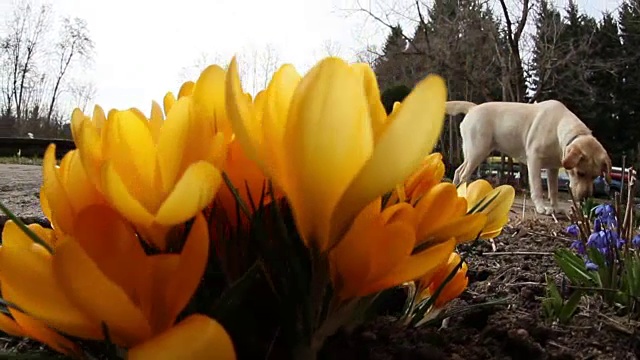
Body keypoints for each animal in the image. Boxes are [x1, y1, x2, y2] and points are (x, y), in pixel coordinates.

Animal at [448, 99, 612, 214]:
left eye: (595, 176)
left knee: (458, 171)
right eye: (580, 173)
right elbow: (538, 187)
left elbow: (553, 190)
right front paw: (542, 208)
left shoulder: (553, 168)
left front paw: (556, 208)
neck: (558, 127)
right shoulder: (534, 160)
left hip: (473, 153)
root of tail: (473, 107)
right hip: (478, 151)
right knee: (464, 174)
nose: (585, 198)